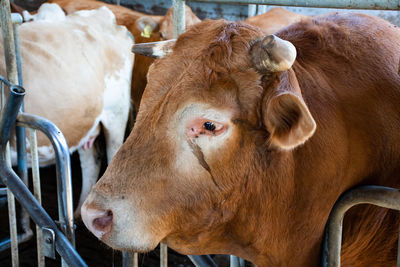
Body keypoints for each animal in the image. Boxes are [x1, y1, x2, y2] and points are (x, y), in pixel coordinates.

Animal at [5, 4, 133, 218]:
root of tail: (102, 13)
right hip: (83, 119)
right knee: (90, 162)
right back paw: (78, 212)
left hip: (116, 112)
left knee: (113, 153)